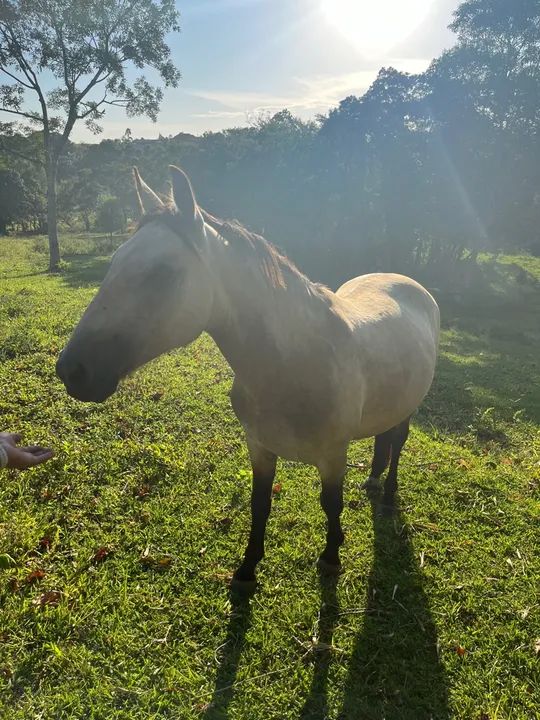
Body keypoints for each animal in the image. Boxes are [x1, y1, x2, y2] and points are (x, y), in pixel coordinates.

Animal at [56, 165, 440, 588]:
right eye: (116, 261)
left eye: (162, 273)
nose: (72, 370)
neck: (295, 366)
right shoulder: (259, 446)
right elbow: (260, 504)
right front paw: (247, 568)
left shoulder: (332, 457)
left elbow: (331, 505)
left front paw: (331, 556)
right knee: (382, 438)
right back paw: (372, 481)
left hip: (409, 407)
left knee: (397, 442)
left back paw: (386, 496)